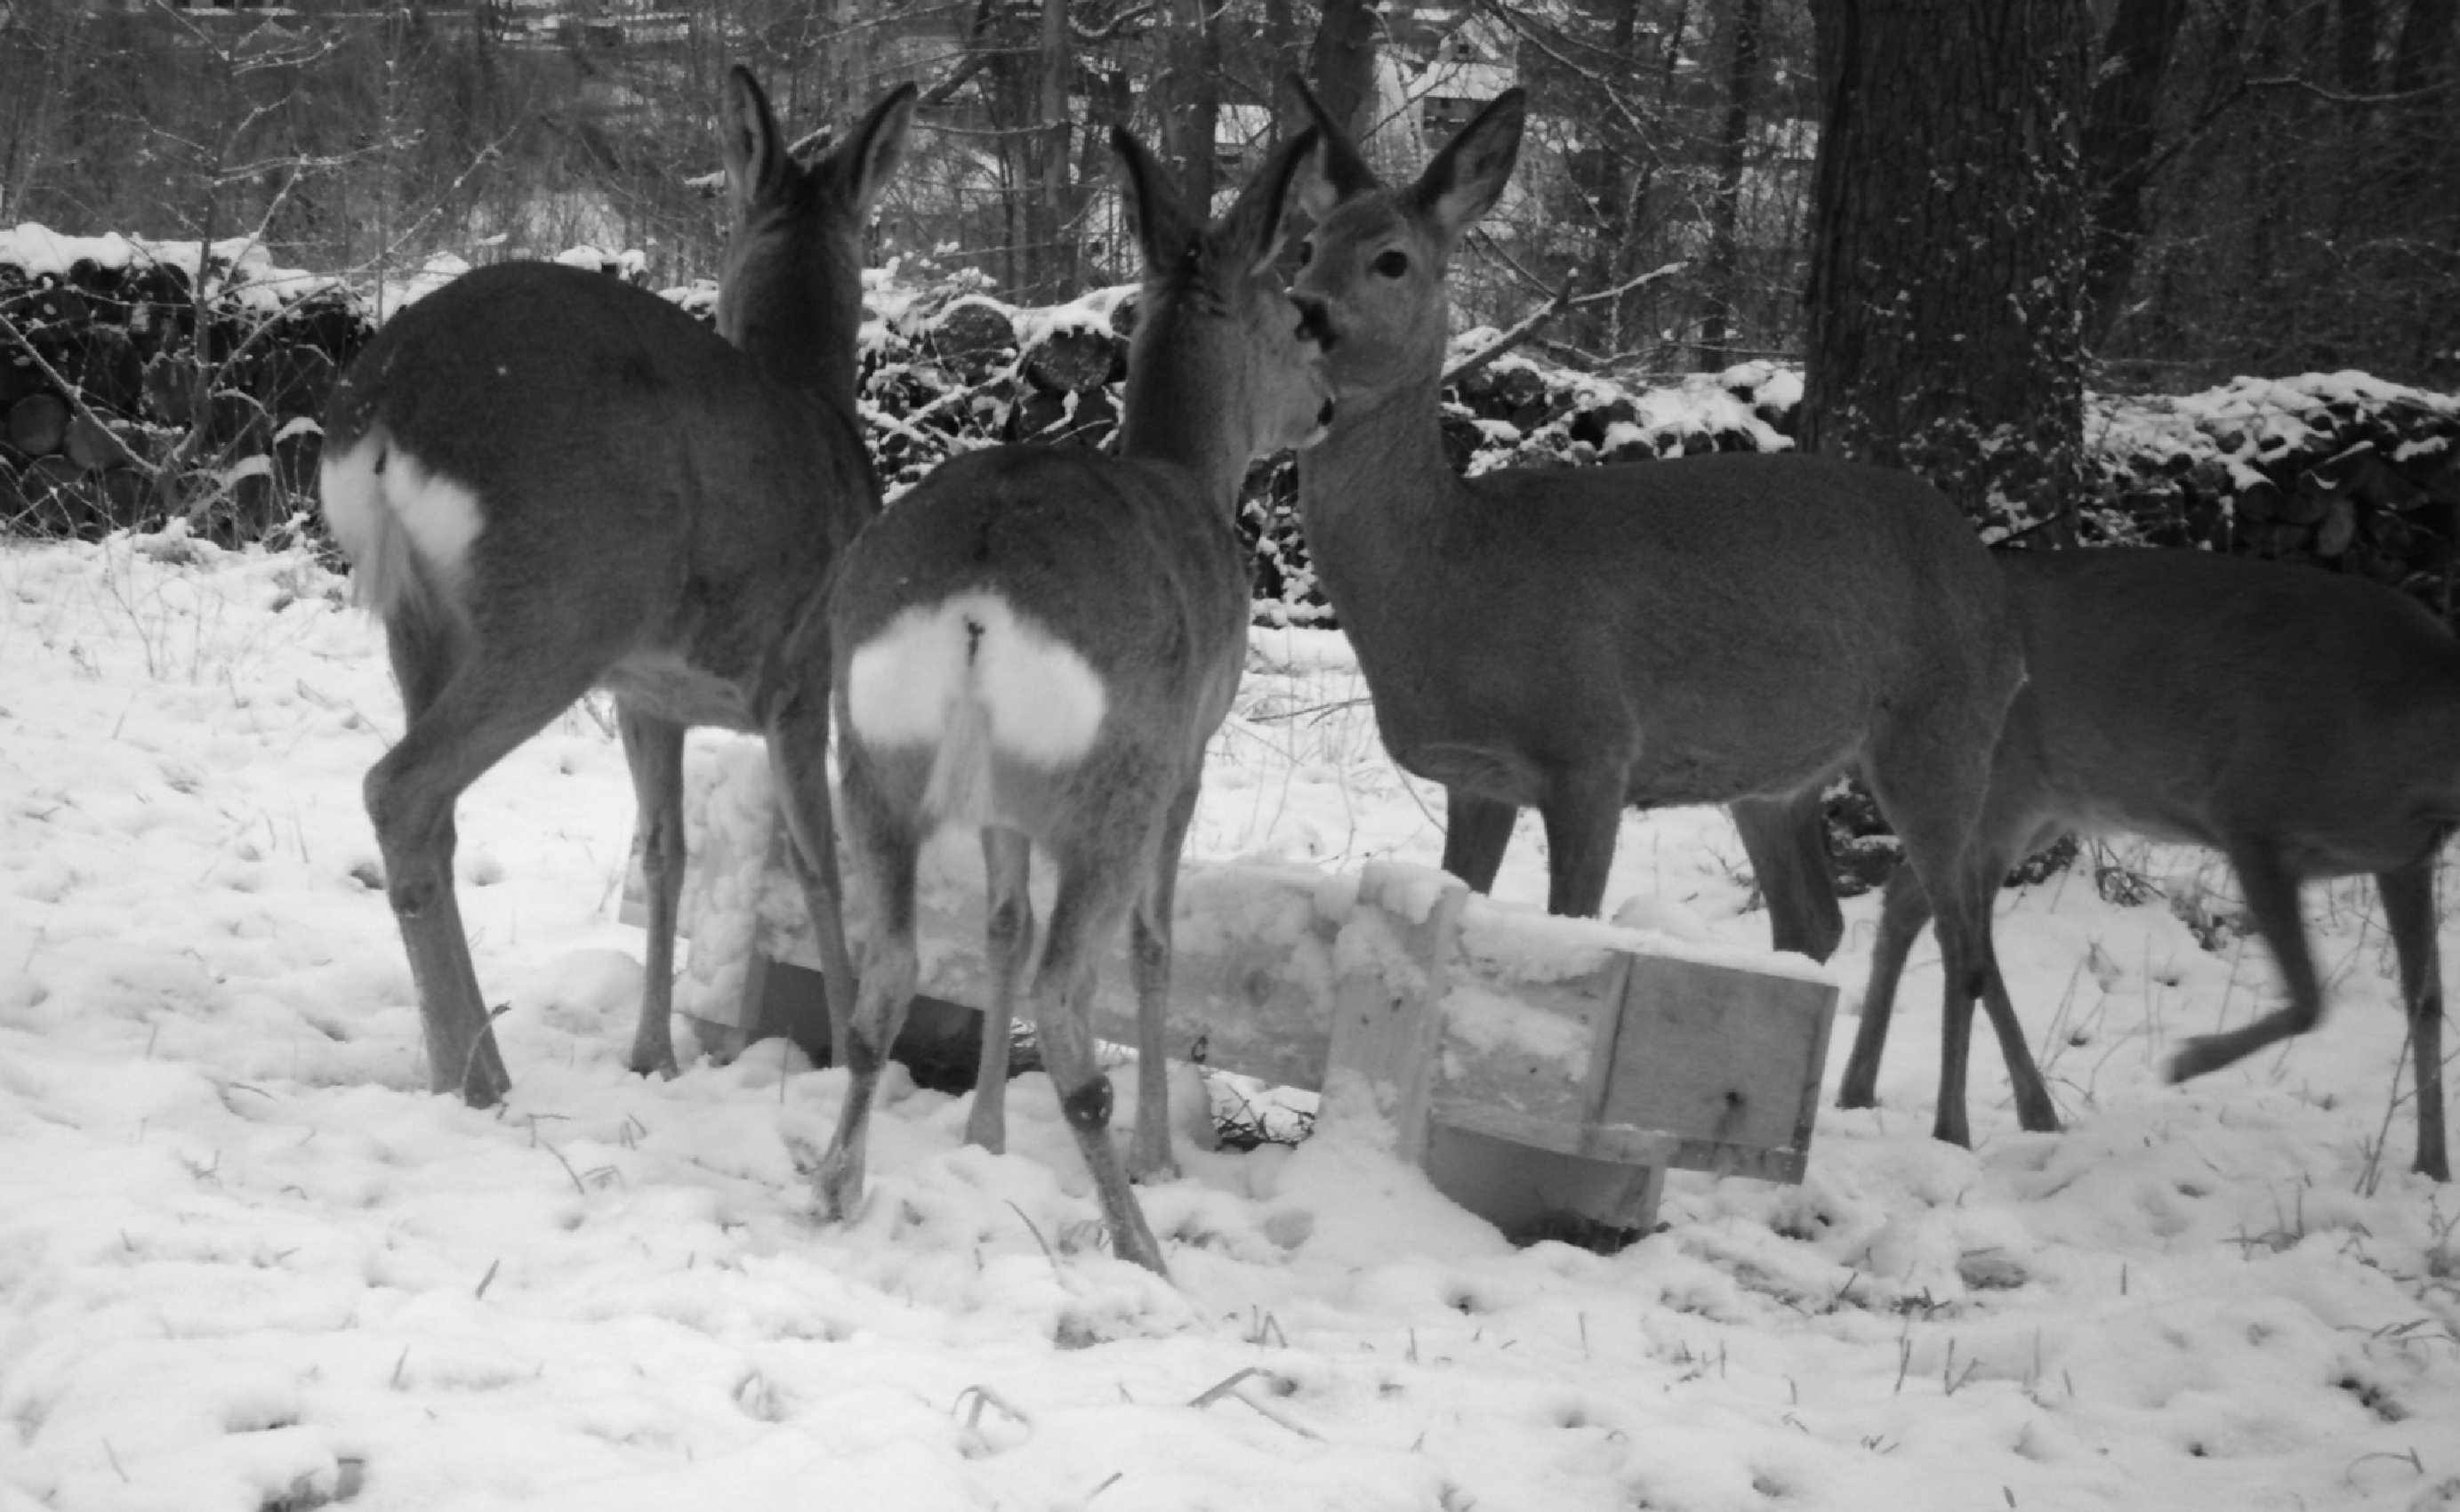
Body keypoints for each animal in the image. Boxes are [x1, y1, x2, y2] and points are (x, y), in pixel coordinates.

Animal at [317, 70, 914, 1106]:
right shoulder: (802, 679)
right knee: (401, 788)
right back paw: (485, 1079)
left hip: (419, 619)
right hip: (563, 606)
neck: (822, 410)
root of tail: (388, 401)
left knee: (432, 813)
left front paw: (653, 1055)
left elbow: (665, 853)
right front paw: (845, 1053)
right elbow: (817, 865)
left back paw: (457, 1067)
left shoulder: (648, 693)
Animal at [821, 127, 1328, 1278]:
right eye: (1295, 319)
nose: (1323, 409)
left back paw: (835, 1186)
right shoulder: (1191, 753)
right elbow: (1155, 939)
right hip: (1114, 778)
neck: (1192, 474)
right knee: (1065, 989)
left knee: (891, 968)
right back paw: (1144, 1247)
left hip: (869, 758)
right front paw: (1158, 1154)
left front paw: (984, 1136)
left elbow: (1001, 925)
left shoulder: (1003, 807)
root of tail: (976, 589)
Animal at [1289, 83, 2037, 1146]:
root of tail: (1997, 595)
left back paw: (1961, 1134)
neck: (1454, 577)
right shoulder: (1477, 776)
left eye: (1390, 257)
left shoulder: (1592, 749)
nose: (1303, 311)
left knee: (1962, 931)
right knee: (1818, 922)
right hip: (1774, 777)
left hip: (1943, 732)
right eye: (1307, 243)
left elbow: (1573, 930)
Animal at [1839, 551, 2449, 1189]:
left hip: (2043, 805)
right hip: (1990, 785)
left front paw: (2433, 1167)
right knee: (1960, 936)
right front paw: (2187, 1060)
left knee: (1912, 899)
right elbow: (2311, 1000)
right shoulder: (2249, 817)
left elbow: (2425, 1002)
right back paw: (1959, 1127)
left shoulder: (2406, 857)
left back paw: (1876, 1094)